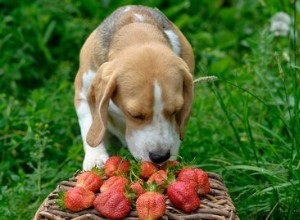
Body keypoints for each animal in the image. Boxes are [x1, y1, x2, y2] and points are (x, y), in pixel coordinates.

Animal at [74, 4, 195, 170]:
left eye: (175, 111)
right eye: (135, 115)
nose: (160, 156)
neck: (138, 31)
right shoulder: (82, 92)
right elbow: (89, 122)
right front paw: (95, 158)